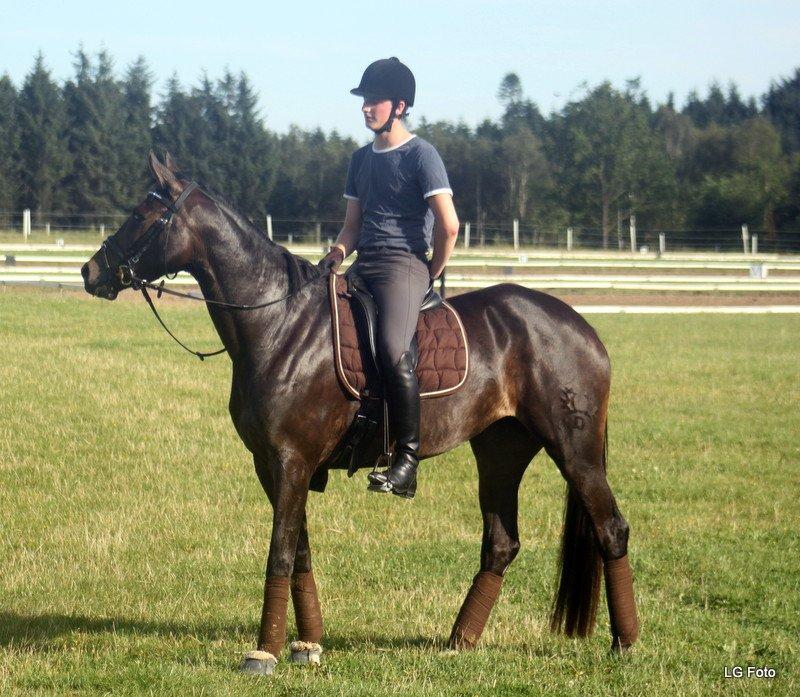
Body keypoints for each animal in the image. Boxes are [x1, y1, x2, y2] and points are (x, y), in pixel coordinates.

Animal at [81, 154, 640, 676]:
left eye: (143, 214)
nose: (91, 271)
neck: (278, 321)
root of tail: (581, 326)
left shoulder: (290, 460)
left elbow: (279, 551)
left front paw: (264, 651)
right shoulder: (274, 465)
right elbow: (299, 551)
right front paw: (306, 645)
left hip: (574, 451)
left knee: (611, 528)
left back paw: (626, 643)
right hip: (501, 451)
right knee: (502, 544)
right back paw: (459, 641)